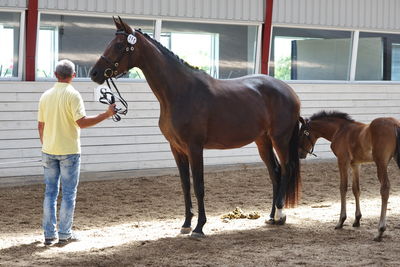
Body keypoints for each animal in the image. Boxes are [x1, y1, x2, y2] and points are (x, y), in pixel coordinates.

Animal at [88, 17, 300, 239]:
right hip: (262, 140)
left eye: (119, 45)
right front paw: (186, 224)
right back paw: (271, 216)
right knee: (274, 173)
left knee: (286, 169)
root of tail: (289, 91)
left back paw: (281, 214)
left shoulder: (195, 147)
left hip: (280, 139)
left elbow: (199, 186)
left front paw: (199, 227)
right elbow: (185, 186)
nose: (94, 73)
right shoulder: (176, 148)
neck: (181, 92)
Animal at [298, 111, 400, 243]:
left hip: (381, 163)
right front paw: (357, 220)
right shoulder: (355, 164)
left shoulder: (342, 161)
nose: (300, 154)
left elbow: (343, 187)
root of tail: (394, 124)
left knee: (385, 189)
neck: (340, 130)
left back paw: (380, 230)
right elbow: (356, 189)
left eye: (301, 134)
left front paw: (341, 221)